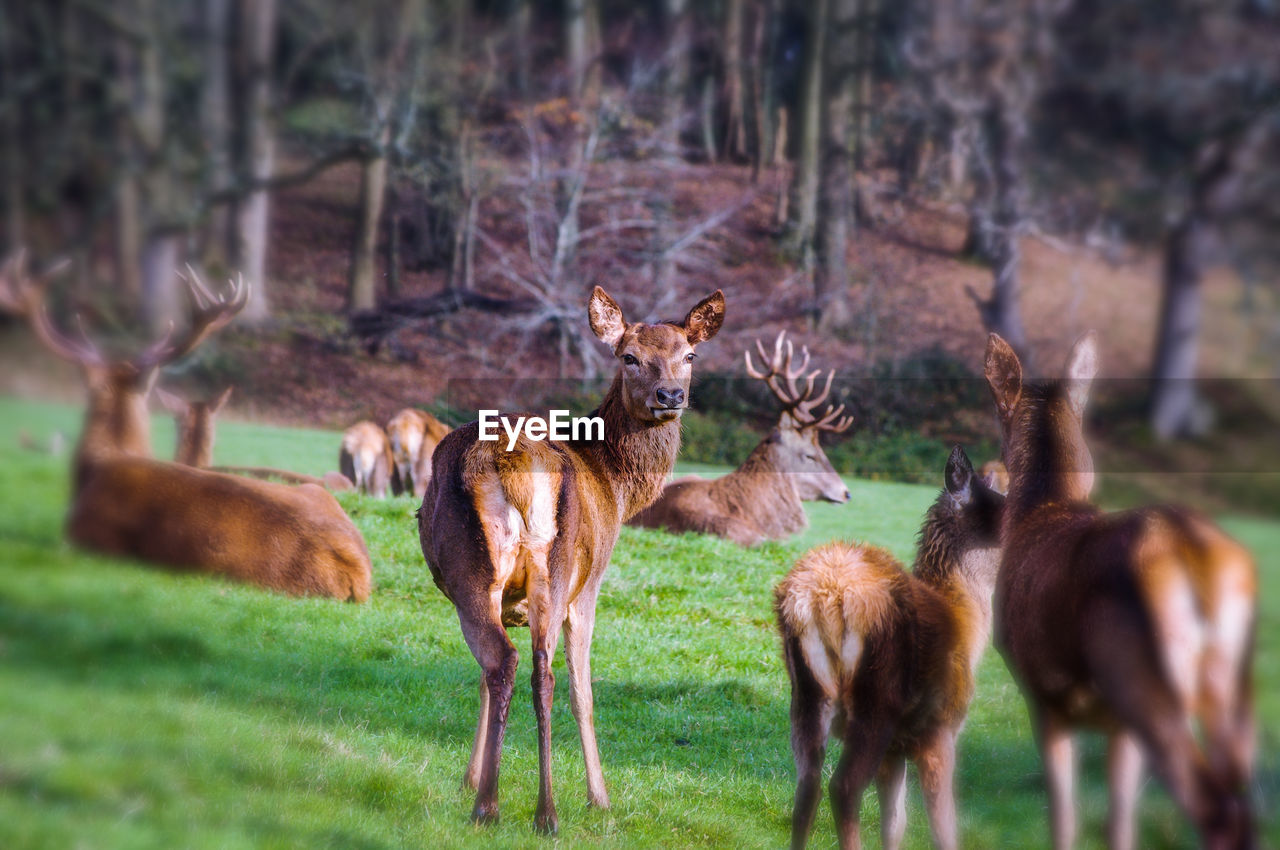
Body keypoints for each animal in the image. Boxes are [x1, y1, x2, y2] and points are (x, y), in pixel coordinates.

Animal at [773, 445, 1003, 850]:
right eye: (1005, 507)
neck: (964, 621)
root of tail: (823, 597)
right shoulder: (938, 729)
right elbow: (943, 827)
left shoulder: (896, 748)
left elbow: (894, 824)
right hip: (877, 698)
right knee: (843, 788)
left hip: (806, 694)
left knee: (807, 787)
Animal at [983, 332, 1254, 850]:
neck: (1039, 511)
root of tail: (1192, 548)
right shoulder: (1114, 725)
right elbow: (1119, 822)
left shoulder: (1043, 694)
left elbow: (1064, 817)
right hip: (1229, 684)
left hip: (1141, 676)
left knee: (1217, 807)